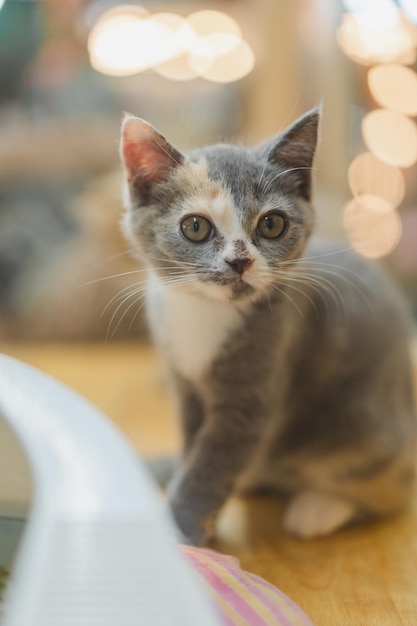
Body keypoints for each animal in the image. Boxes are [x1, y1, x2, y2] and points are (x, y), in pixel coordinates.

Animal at [118, 109, 414, 544]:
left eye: (272, 224)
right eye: (195, 227)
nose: (239, 261)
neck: (204, 311)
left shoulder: (259, 382)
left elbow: (210, 464)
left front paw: (179, 529)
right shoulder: (185, 387)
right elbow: (193, 447)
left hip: (364, 429)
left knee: (389, 489)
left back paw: (318, 509)